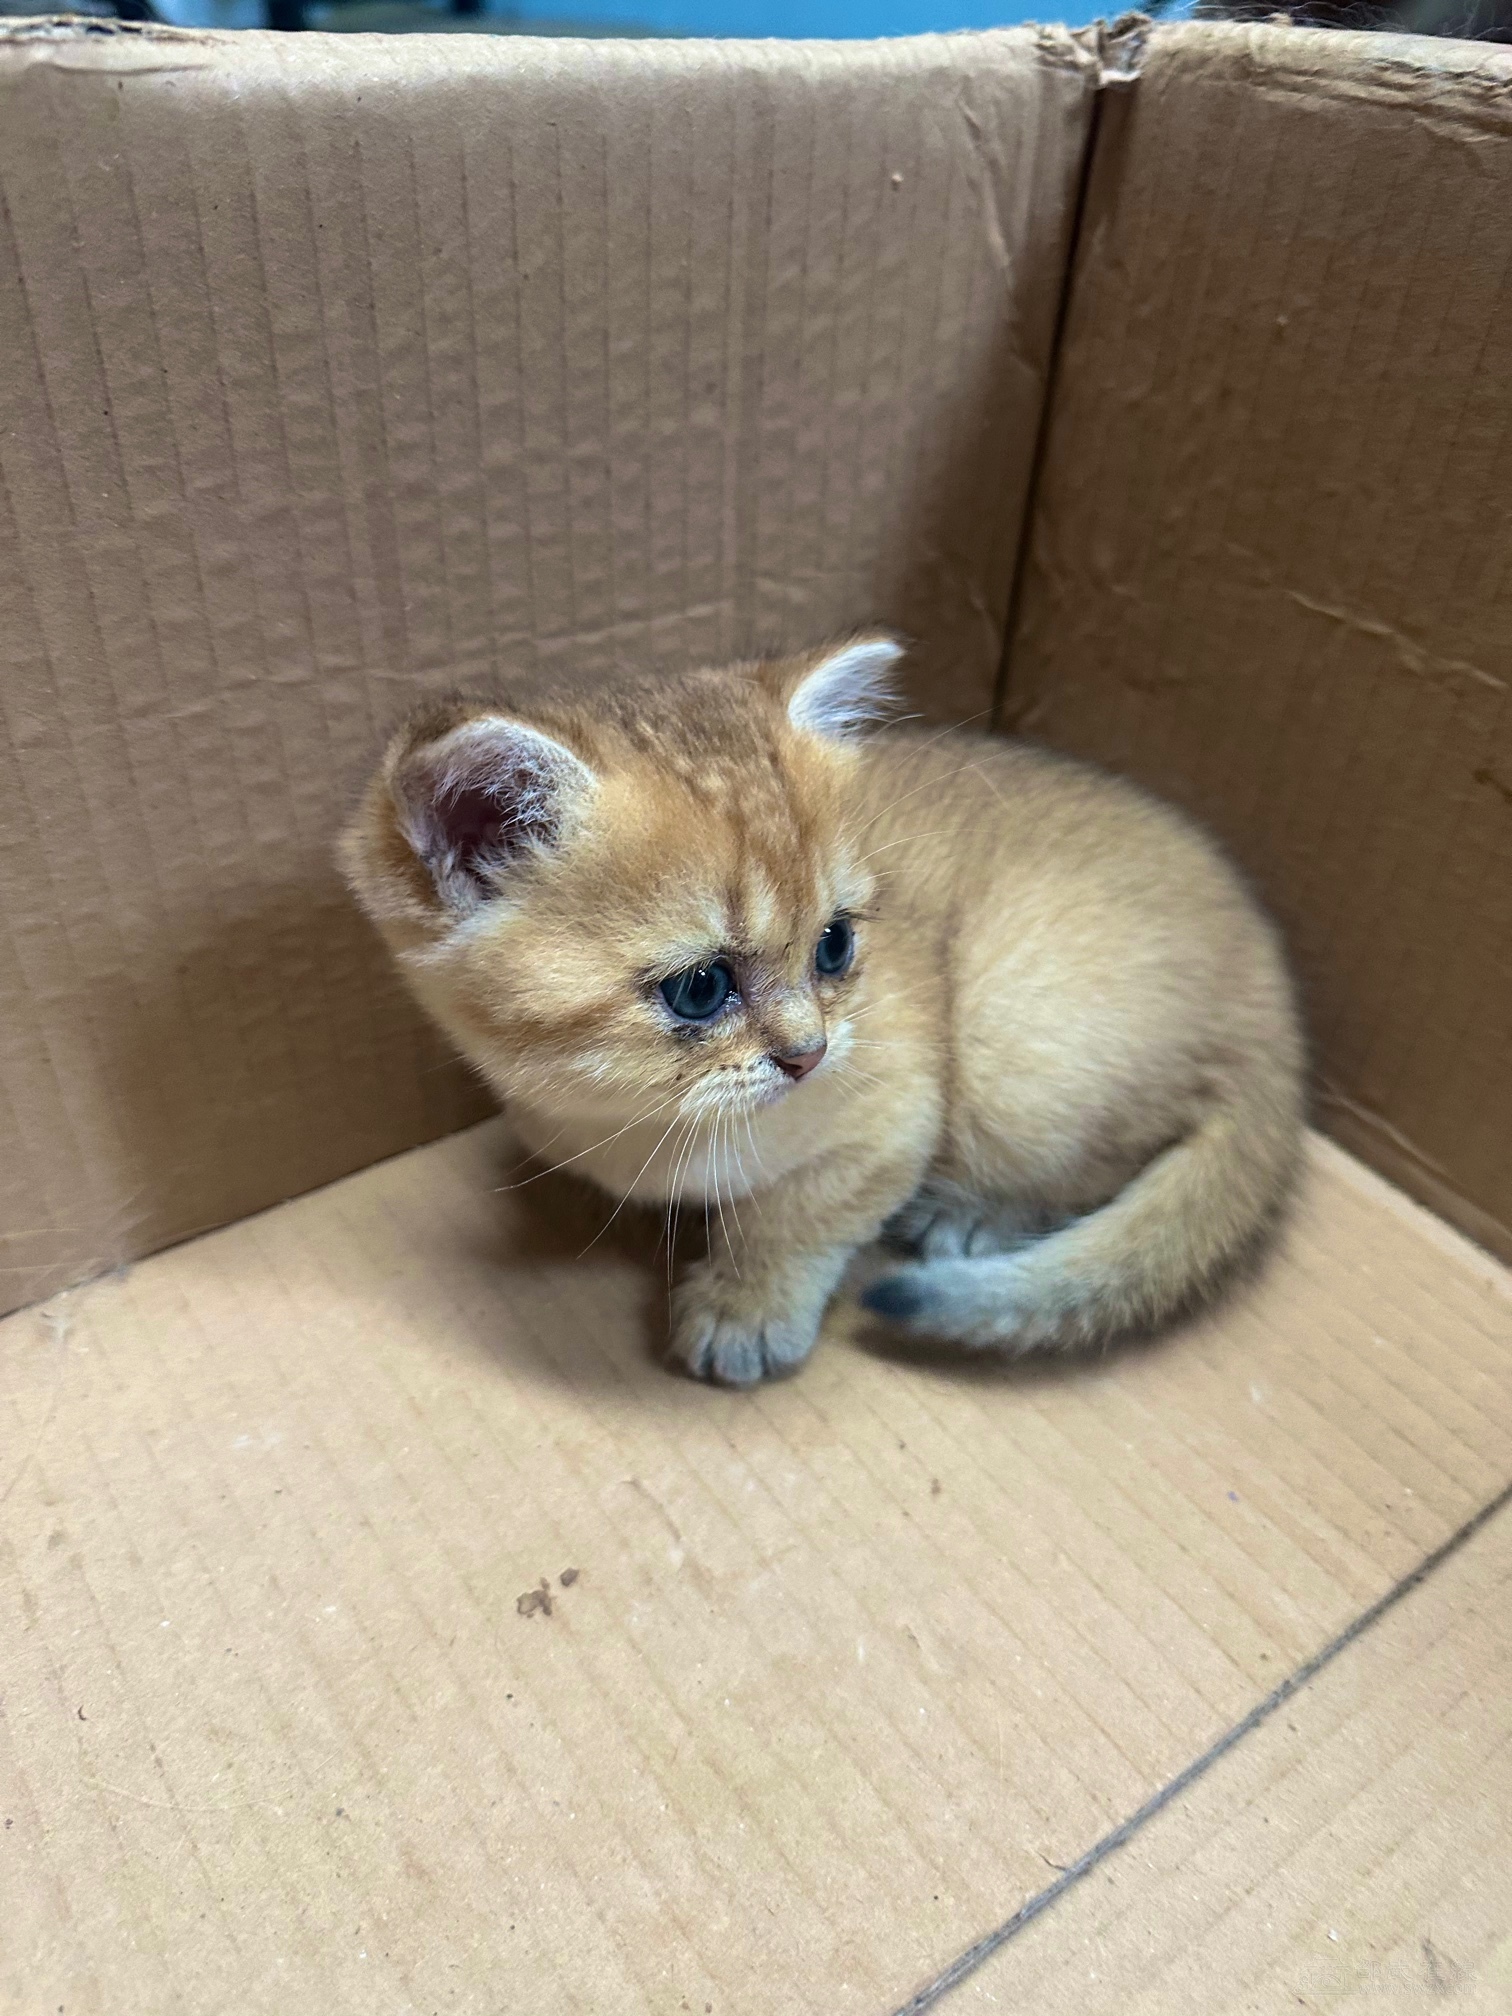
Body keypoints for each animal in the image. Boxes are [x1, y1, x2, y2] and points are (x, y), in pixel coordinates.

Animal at [340, 634, 1304, 1387]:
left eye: (834, 945)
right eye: (701, 988)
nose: (809, 1055)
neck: (640, 1130)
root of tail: (1278, 1011)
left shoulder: (891, 1124)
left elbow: (792, 1217)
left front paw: (746, 1304)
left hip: (1015, 1048)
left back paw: (976, 1216)